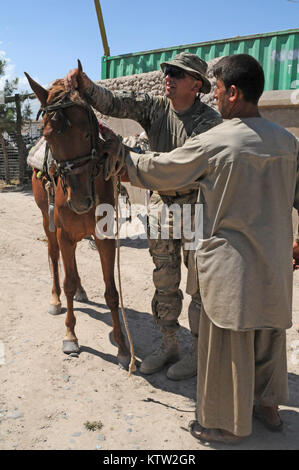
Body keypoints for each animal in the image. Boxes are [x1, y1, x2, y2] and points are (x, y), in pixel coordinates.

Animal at [24, 61, 130, 368]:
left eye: (87, 132)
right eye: (48, 135)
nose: (81, 201)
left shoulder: (105, 238)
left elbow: (111, 292)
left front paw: (122, 346)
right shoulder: (64, 233)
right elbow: (68, 282)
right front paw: (70, 336)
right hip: (48, 224)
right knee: (54, 257)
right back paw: (55, 300)